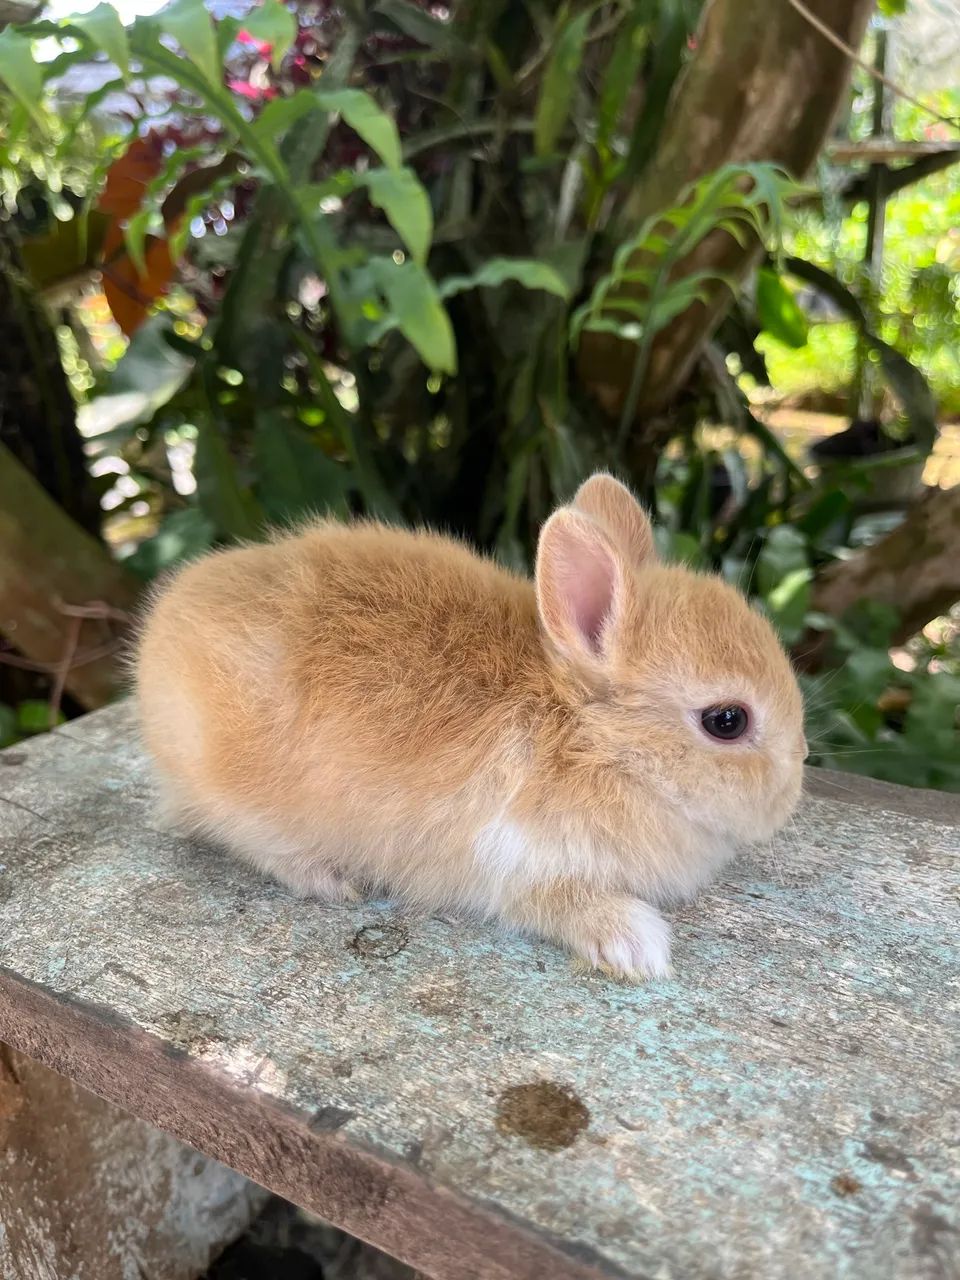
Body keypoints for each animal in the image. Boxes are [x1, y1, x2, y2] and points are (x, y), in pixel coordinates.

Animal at [135, 473, 806, 979]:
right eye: (726, 721)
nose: (790, 796)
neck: (588, 738)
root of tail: (163, 631)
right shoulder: (517, 861)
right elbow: (568, 902)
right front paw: (638, 947)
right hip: (240, 795)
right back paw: (329, 880)